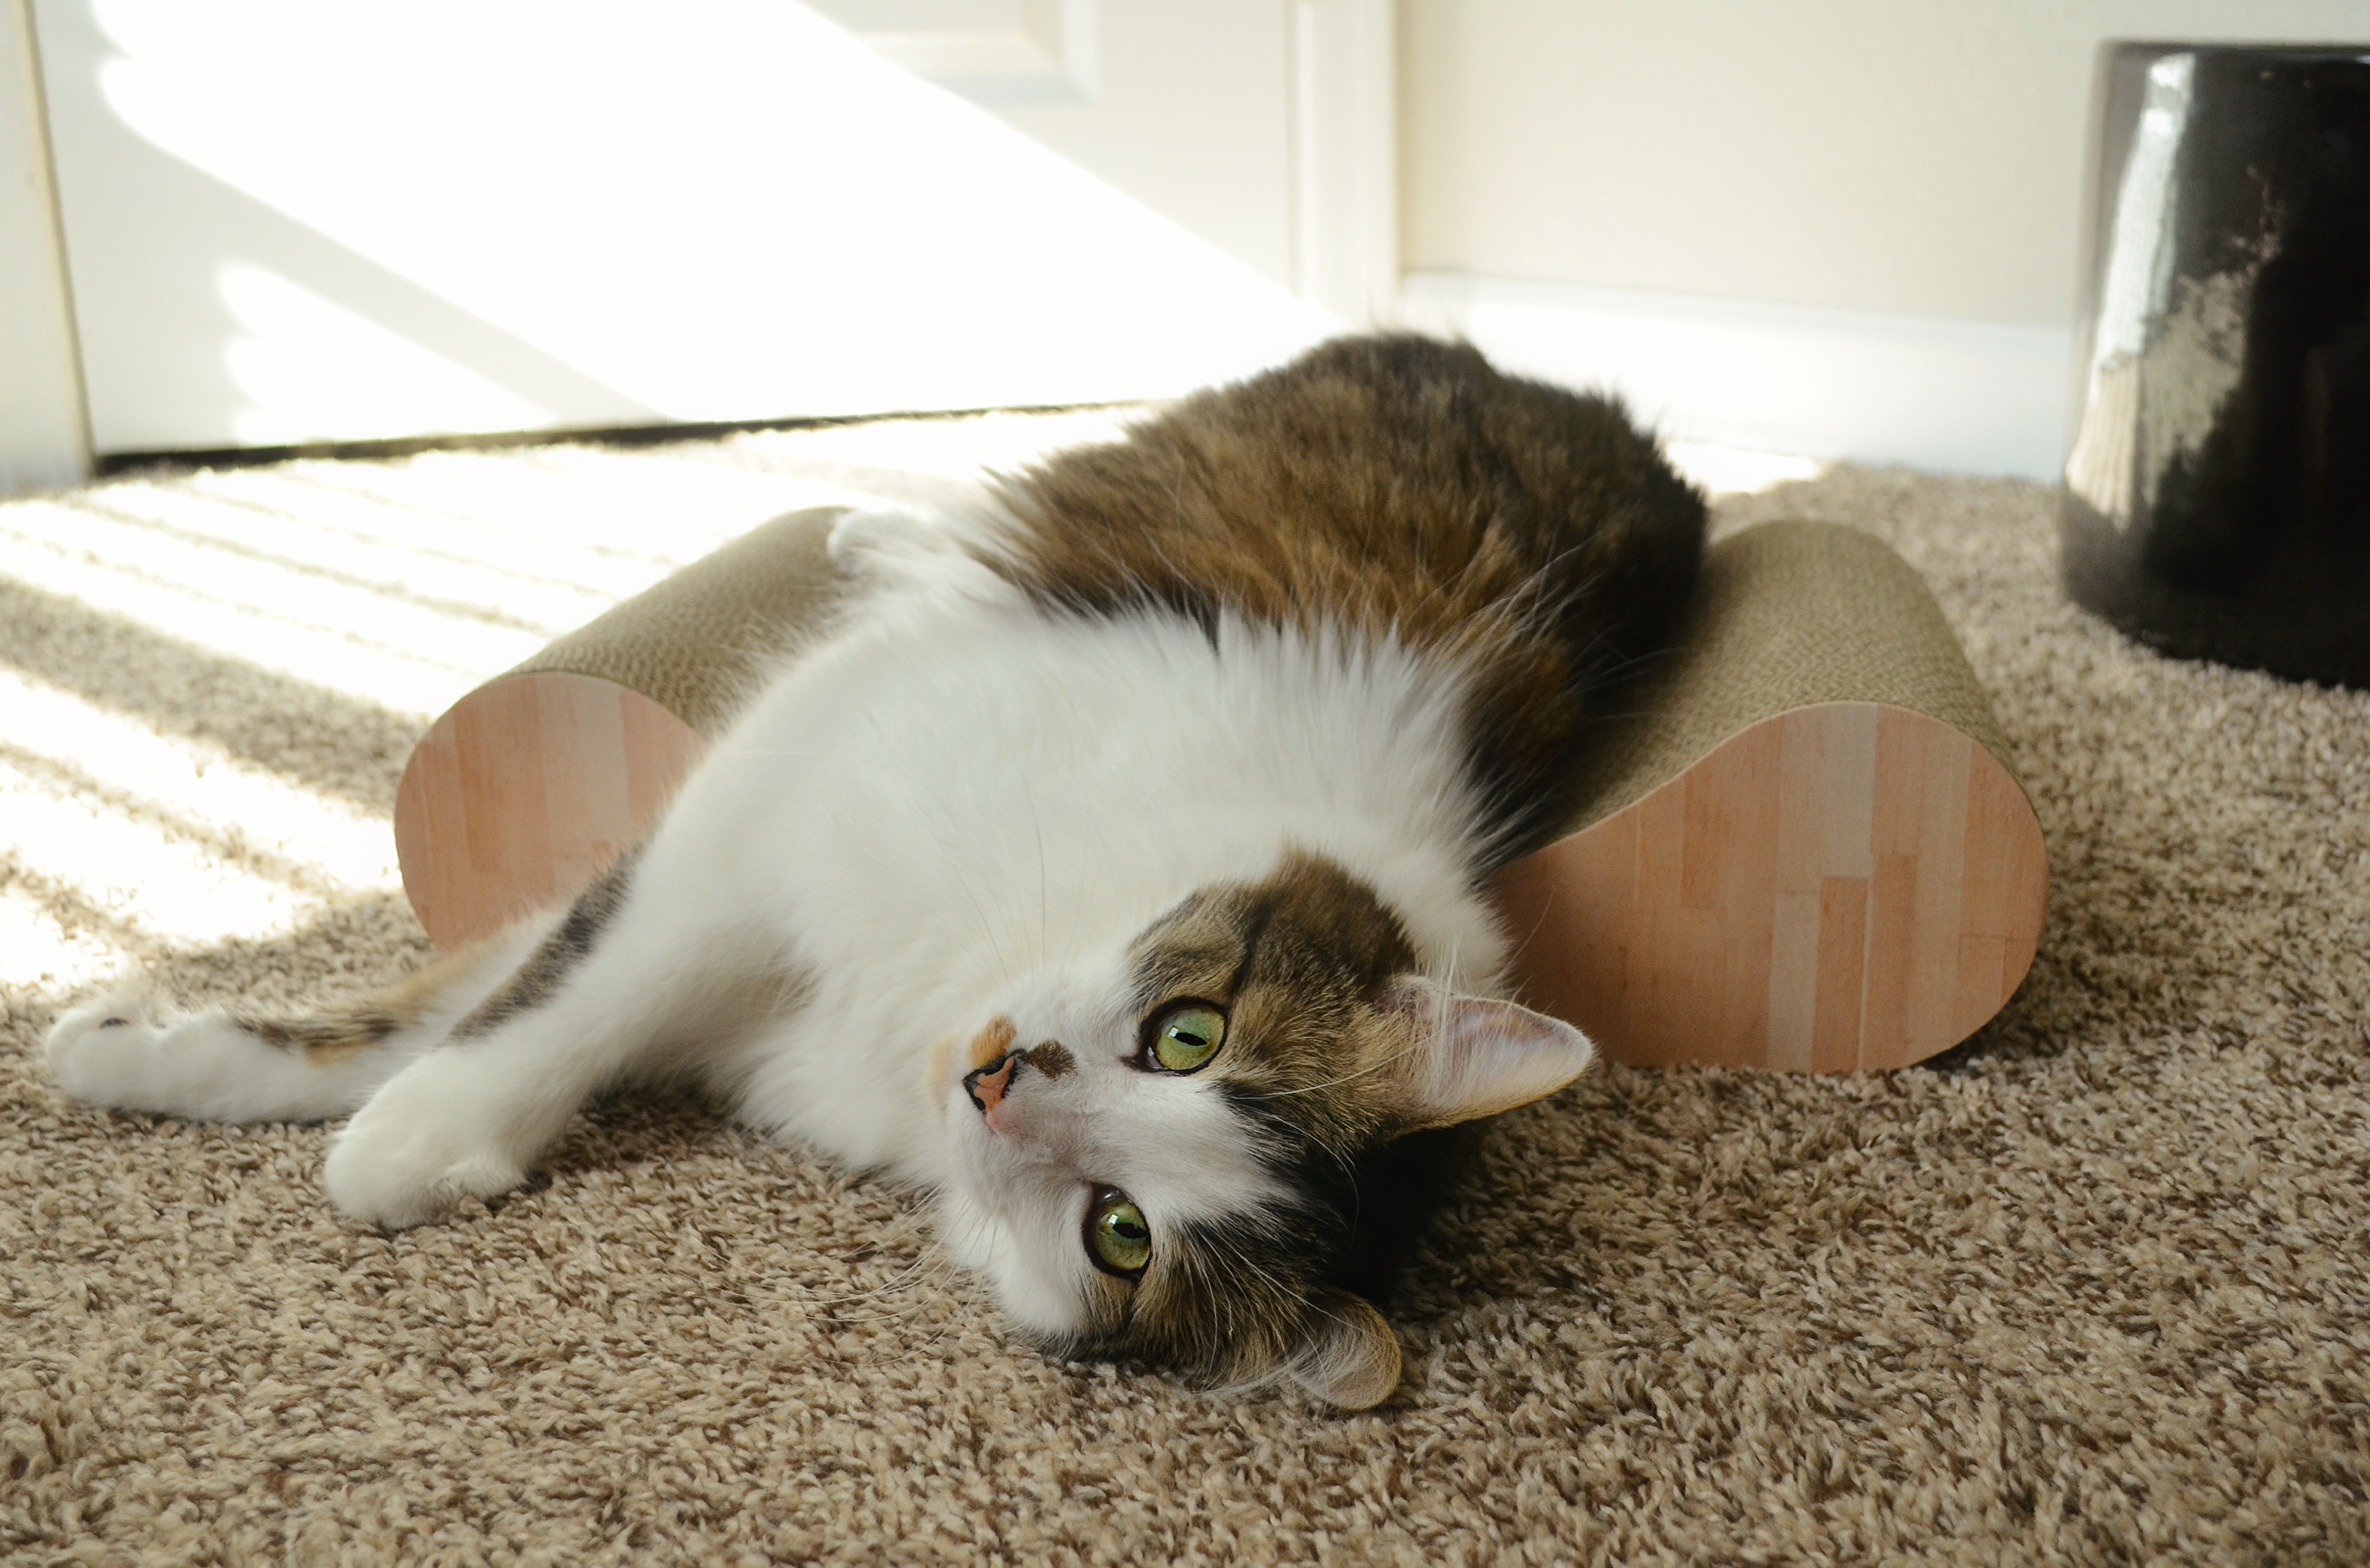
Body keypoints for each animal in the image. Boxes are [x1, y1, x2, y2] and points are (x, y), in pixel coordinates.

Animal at [41, 331, 1706, 1411]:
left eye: (1118, 1231)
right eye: (1189, 1032)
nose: (1000, 1080)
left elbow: (461, 1002)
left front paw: (191, 1070)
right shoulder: (760, 823)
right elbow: (538, 998)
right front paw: (327, 1109)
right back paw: (872, 523)